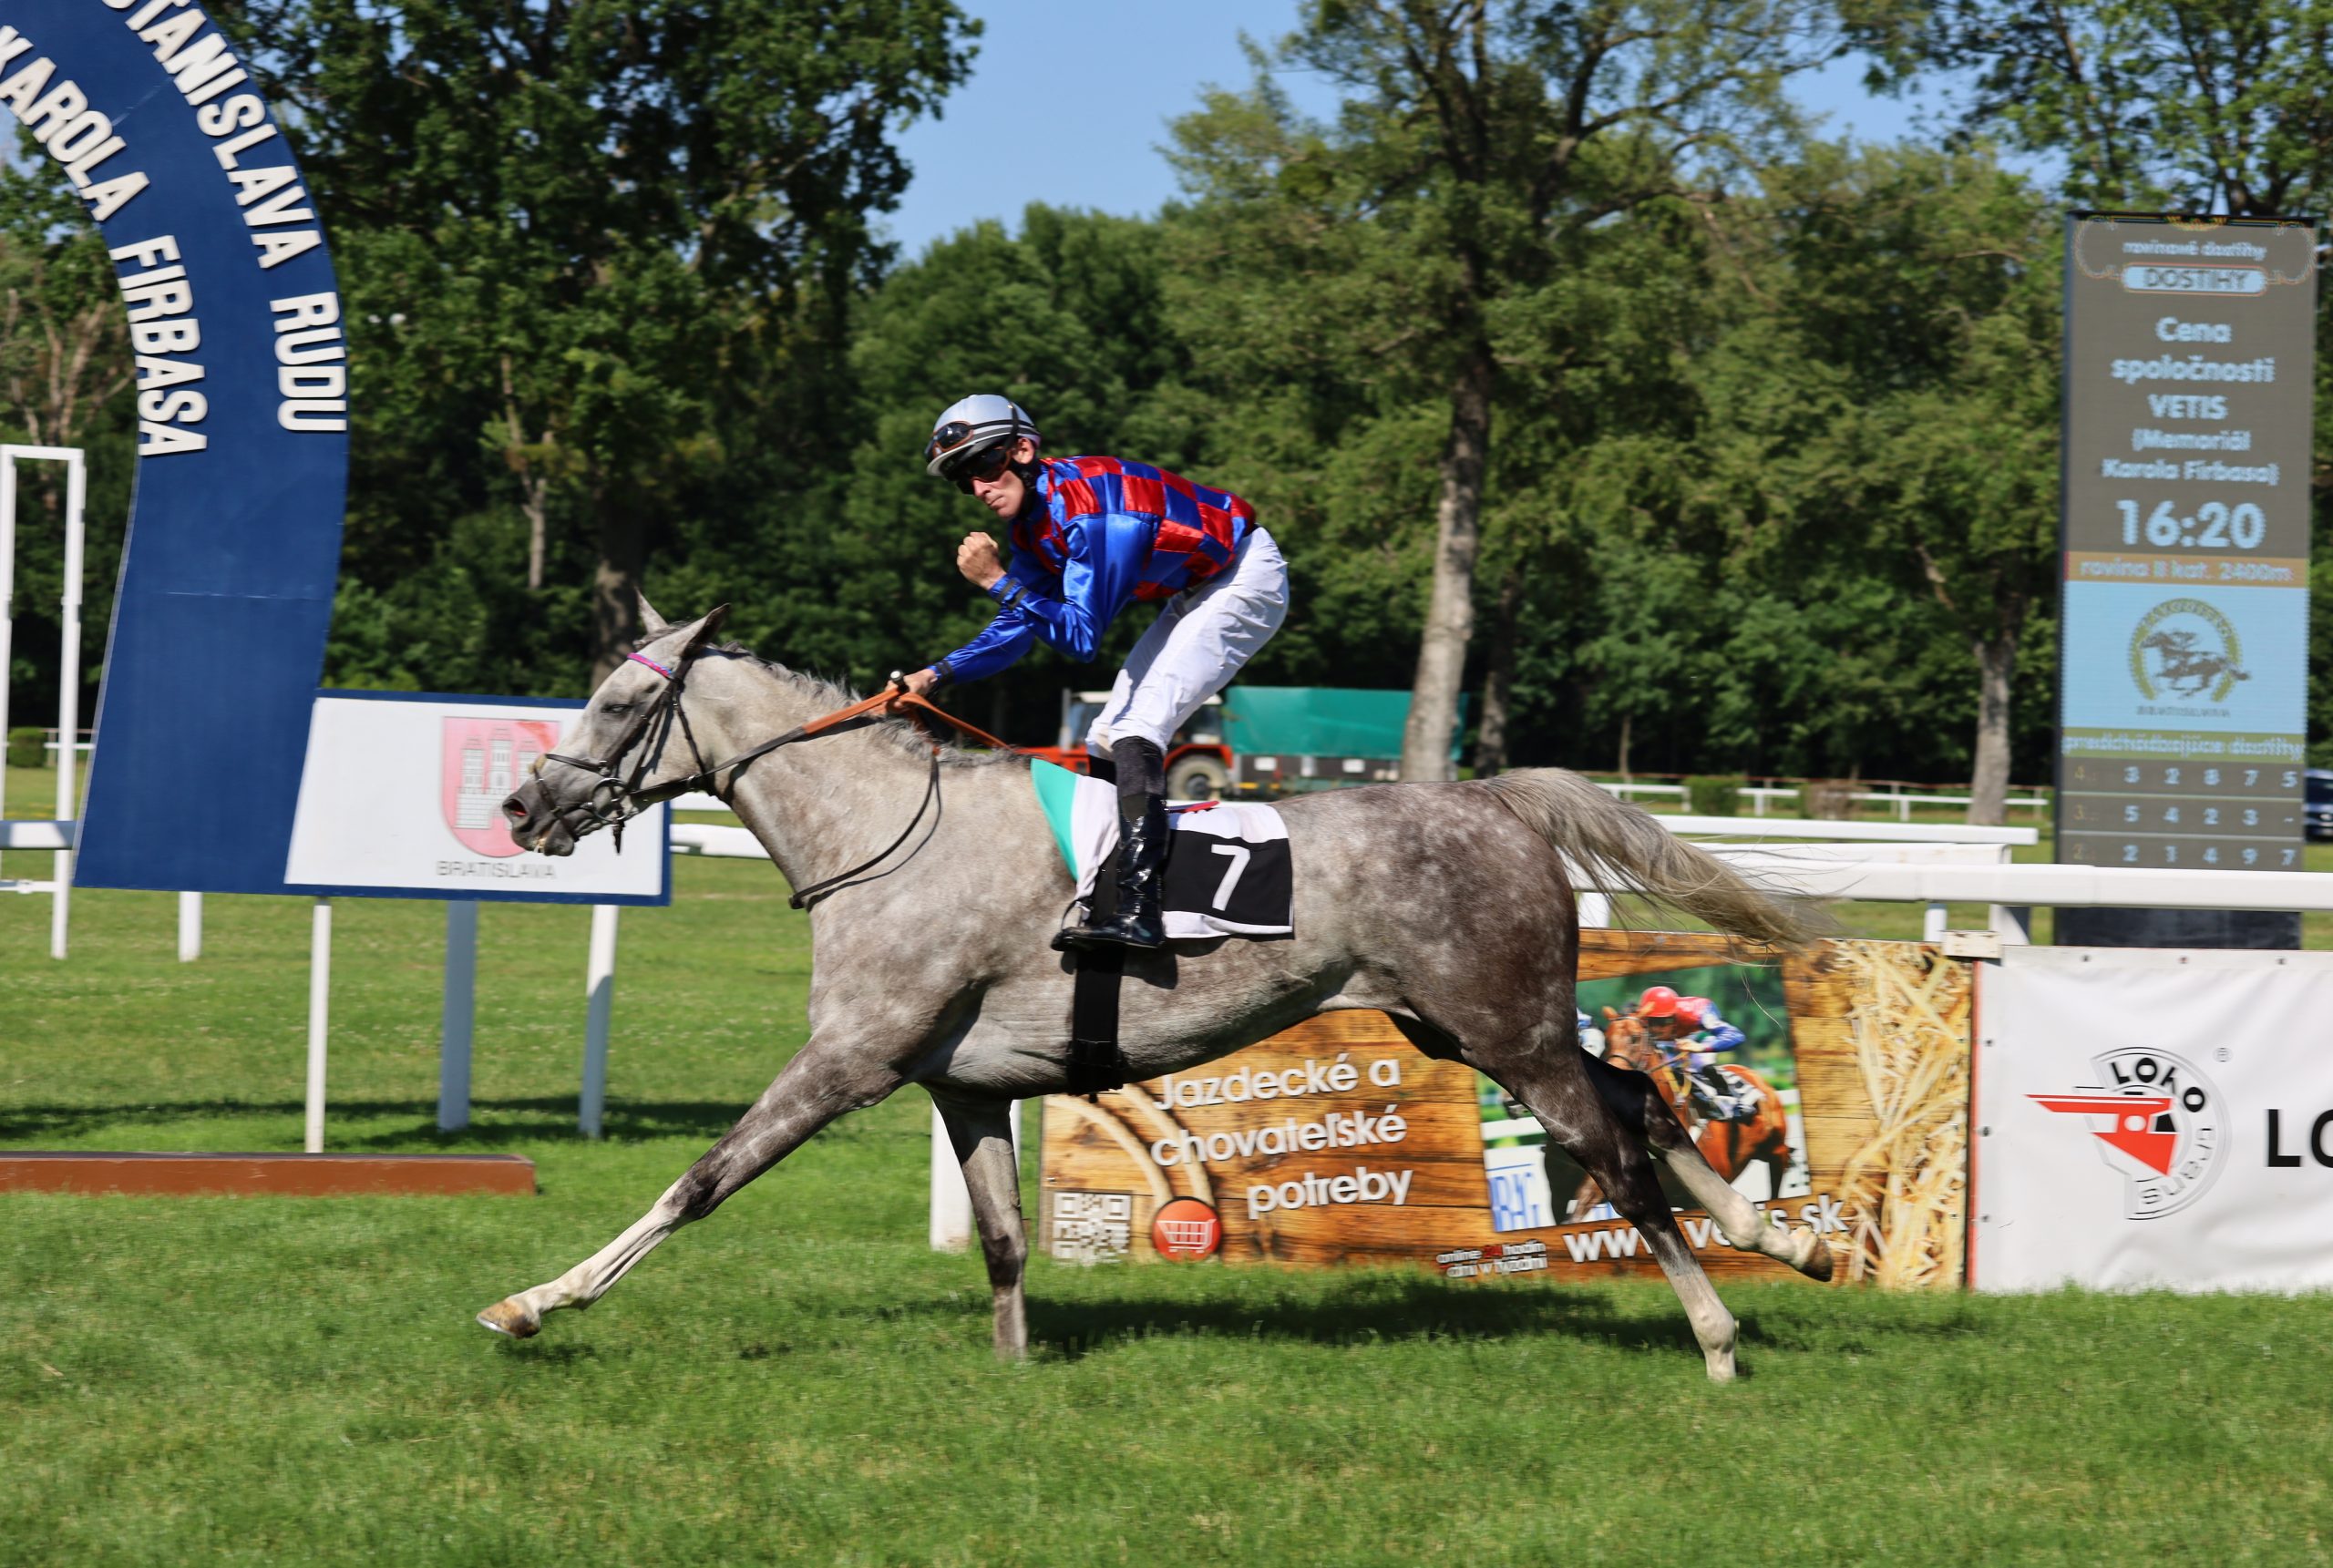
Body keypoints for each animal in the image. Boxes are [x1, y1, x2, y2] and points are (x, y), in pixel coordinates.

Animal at [482, 601, 1829, 1381]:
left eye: (618, 701)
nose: (521, 803)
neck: (884, 836)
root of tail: (1494, 797)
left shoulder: (849, 1061)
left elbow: (699, 1181)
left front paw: (537, 1301)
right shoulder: (963, 1085)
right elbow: (1005, 1235)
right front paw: (1013, 1370)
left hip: (1509, 1028)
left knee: (1614, 1147)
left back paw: (1717, 1332)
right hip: (1463, 1024)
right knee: (1634, 1094)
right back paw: (1781, 1237)